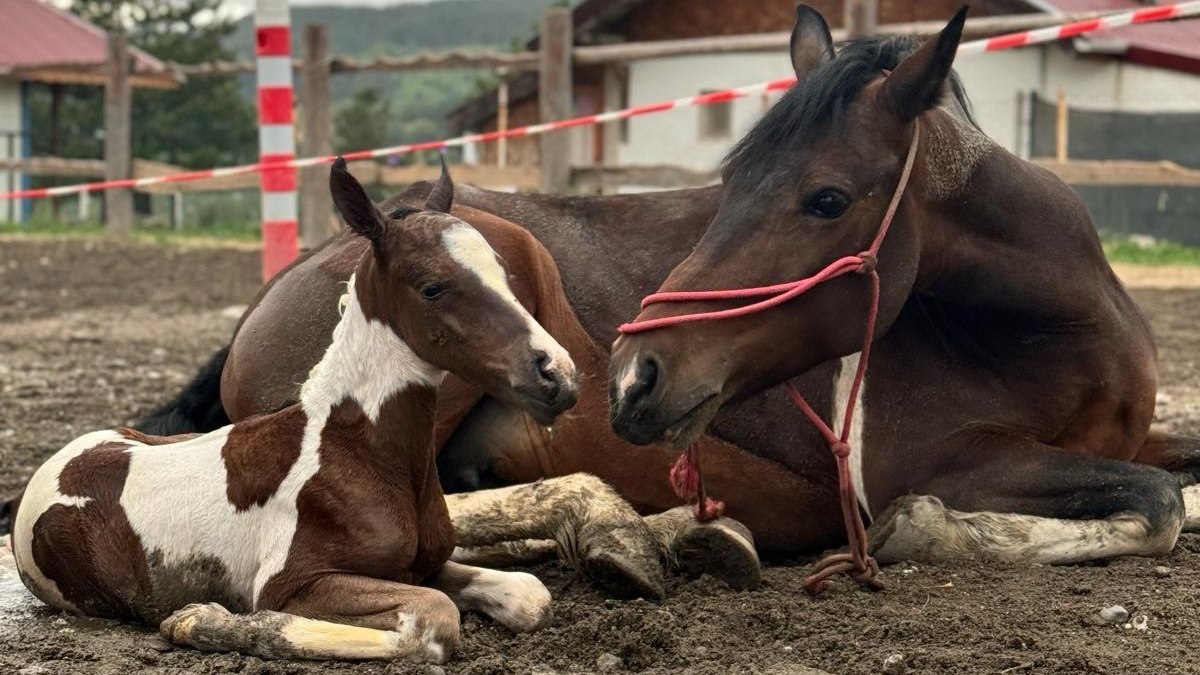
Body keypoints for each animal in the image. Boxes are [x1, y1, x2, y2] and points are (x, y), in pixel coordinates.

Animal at [11, 159, 576, 658]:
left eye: (503, 272)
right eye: (433, 287)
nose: (559, 375)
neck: (358, 454)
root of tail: (50, 468)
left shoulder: (425, 566)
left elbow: (531, 595)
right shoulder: (300, 583)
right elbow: (435, 619)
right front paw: (204, 621)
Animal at [614, 5, 1195, 571]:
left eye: (828, 200)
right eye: (730, 181)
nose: (633, 374)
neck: (1067, 337)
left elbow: (1176, 486)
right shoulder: (943, 462)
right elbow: (1161, 498)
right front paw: (926, 527)